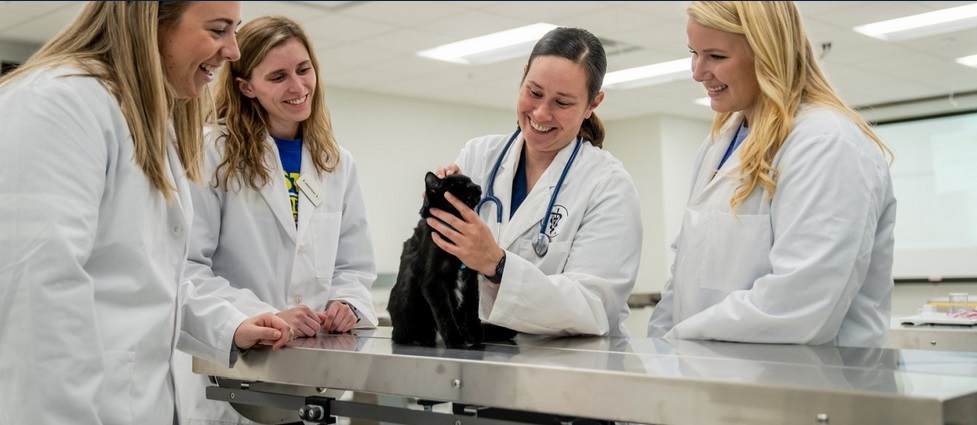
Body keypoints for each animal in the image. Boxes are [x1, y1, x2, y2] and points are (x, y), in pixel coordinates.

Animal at [386, 172, 482, 348]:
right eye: (460, 185)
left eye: (471, 181)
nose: (478, 187)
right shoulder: (433, 282)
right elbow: (445, 315)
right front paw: (454, 340)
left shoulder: (471, 279)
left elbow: (472, 308)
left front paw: (474, 335)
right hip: (407, 300)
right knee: (402, 334)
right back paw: (420, 338)